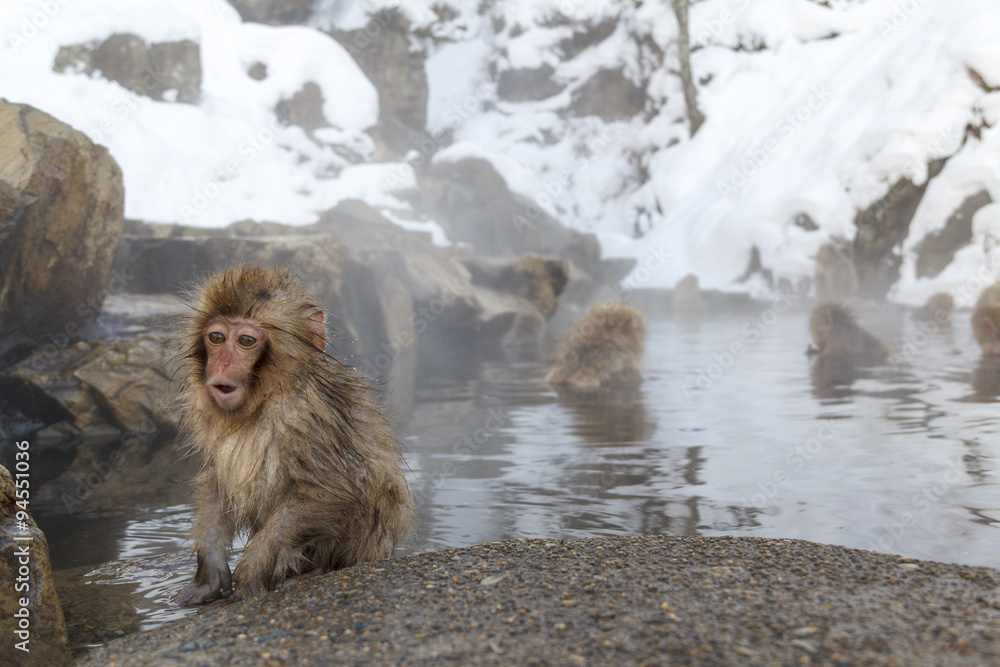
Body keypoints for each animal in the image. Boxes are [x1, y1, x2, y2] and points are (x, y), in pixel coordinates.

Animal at [172, 265, 414, 606]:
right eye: (217, 337)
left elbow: (330, 491)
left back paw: (313, 573)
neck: (264, 399)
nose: (223, 364)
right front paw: (210, 576)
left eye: (246, 340)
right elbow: (218, 484)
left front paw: (250, 574)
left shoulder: (307, 415)